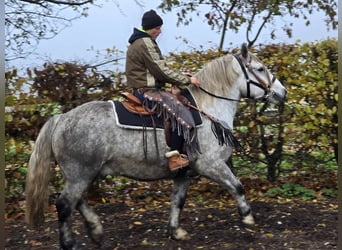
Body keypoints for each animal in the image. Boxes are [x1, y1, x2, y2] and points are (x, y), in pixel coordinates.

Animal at [24, 44, 286, 249]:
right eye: (260, 69)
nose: (282, 93)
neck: (207, 108)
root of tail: (61, 118)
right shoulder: (211, 165)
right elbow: (237, 186)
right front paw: (247, 217)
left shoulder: (185, 173)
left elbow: (178, 201)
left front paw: (176, 231)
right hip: (80, 174)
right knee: (64, 205)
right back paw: (70, 243)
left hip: (83, 174)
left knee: (77, 202)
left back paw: (96, 231)